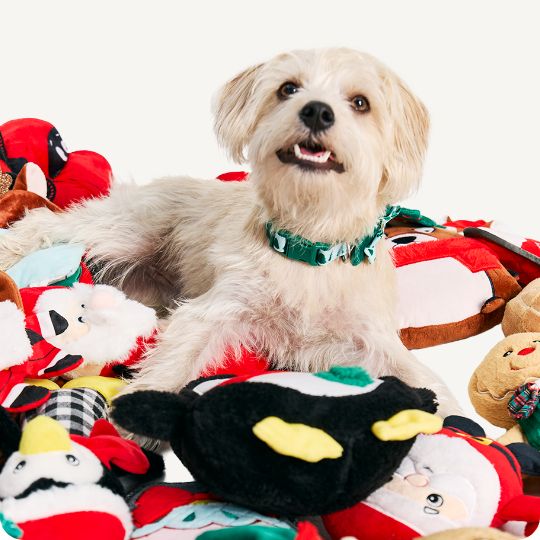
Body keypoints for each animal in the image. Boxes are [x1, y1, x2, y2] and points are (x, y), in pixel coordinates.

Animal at [0, 48, 460, 416]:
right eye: (288, 89)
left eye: (361, 102)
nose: (316, 110)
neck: (309, 244)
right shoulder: (214, 311)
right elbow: (174, 361)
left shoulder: (372, 340)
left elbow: (429, 385)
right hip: (125, 230)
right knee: (47, 224)